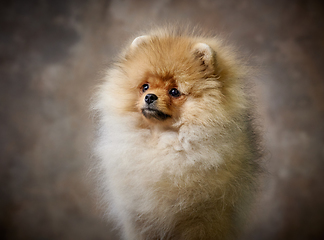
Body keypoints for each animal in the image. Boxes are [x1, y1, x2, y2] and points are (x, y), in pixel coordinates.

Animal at [92, 26, 260, 240]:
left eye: (174, 91)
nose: (149, 97)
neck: (162, 142)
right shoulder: (140, 218)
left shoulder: (204, 218)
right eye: (145, 86)